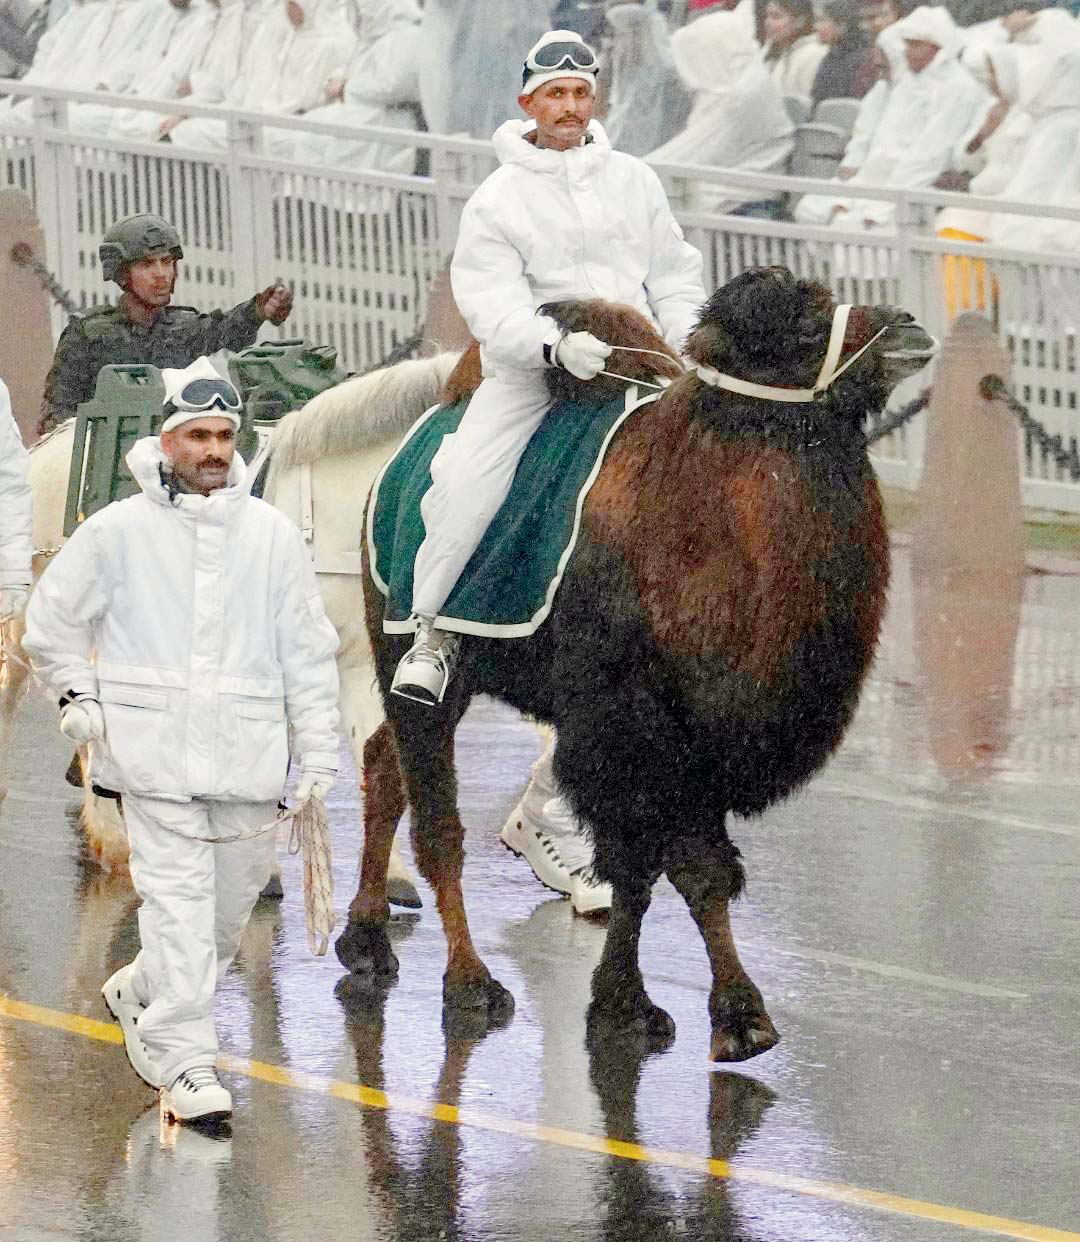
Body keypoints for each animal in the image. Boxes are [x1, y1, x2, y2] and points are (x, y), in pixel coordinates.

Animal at [330, 268, 935, 1061]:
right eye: (804, 324)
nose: (909, 327)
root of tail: (403, 455)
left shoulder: (701, 743)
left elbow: (700, 872)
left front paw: (736, 1017)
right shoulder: (626, 729)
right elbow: (644, 870)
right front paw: (632, 1007)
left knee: (383, 766)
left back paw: (365, 941)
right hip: (409, 646)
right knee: (437, 822)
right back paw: (470, 983)